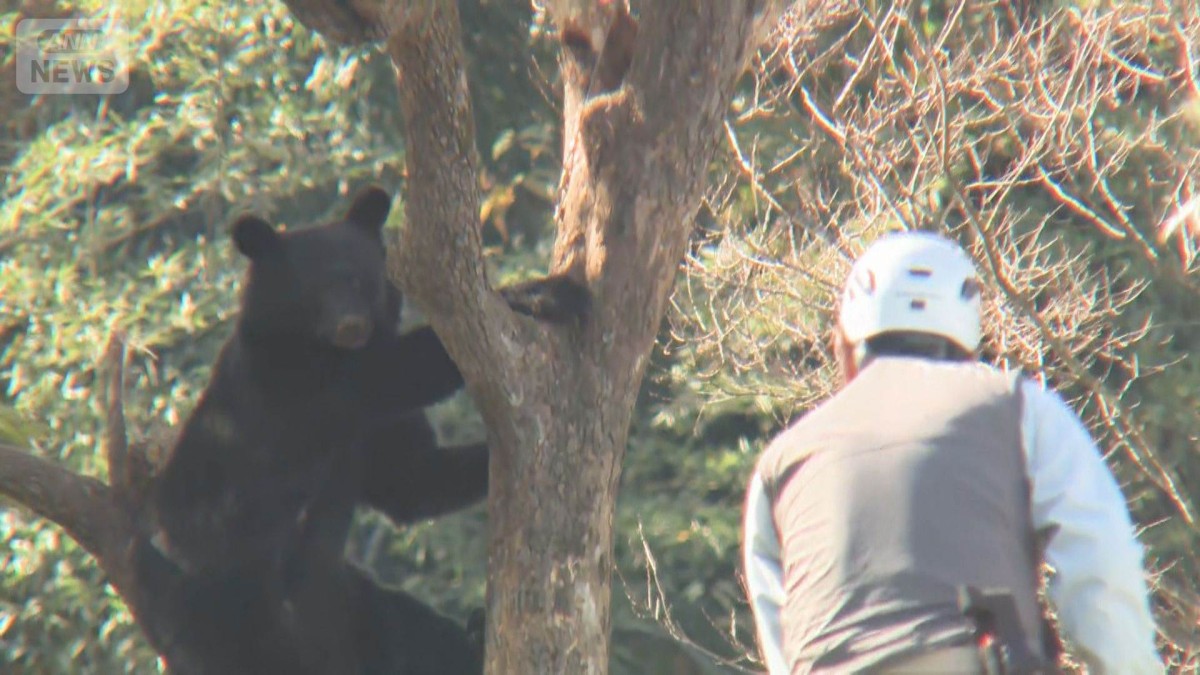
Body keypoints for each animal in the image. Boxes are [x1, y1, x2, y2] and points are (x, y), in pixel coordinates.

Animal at [140, 185, 588, 674]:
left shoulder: (373, 430)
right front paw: (547, 293)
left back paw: (470, 636)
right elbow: (396, 373)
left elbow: (410, 478)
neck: (322, 348)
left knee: (411, 629)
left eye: (357, 280)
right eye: (314, 289)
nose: (350, 325)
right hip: (234, 606)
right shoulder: (294, 388)